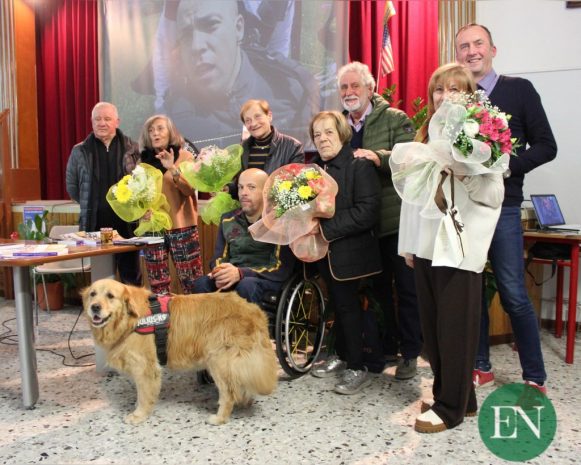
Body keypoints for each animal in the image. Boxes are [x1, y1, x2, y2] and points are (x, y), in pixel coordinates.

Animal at [82, 278, 278, 426]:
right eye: (92, 294)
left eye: (110, 296)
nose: (95, 307)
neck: (130, 320)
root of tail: (254, 310)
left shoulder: (145, 368)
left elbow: (144, 394)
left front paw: (139, 414)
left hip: (218, 361)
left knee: (229, 393)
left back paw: (220, 417)